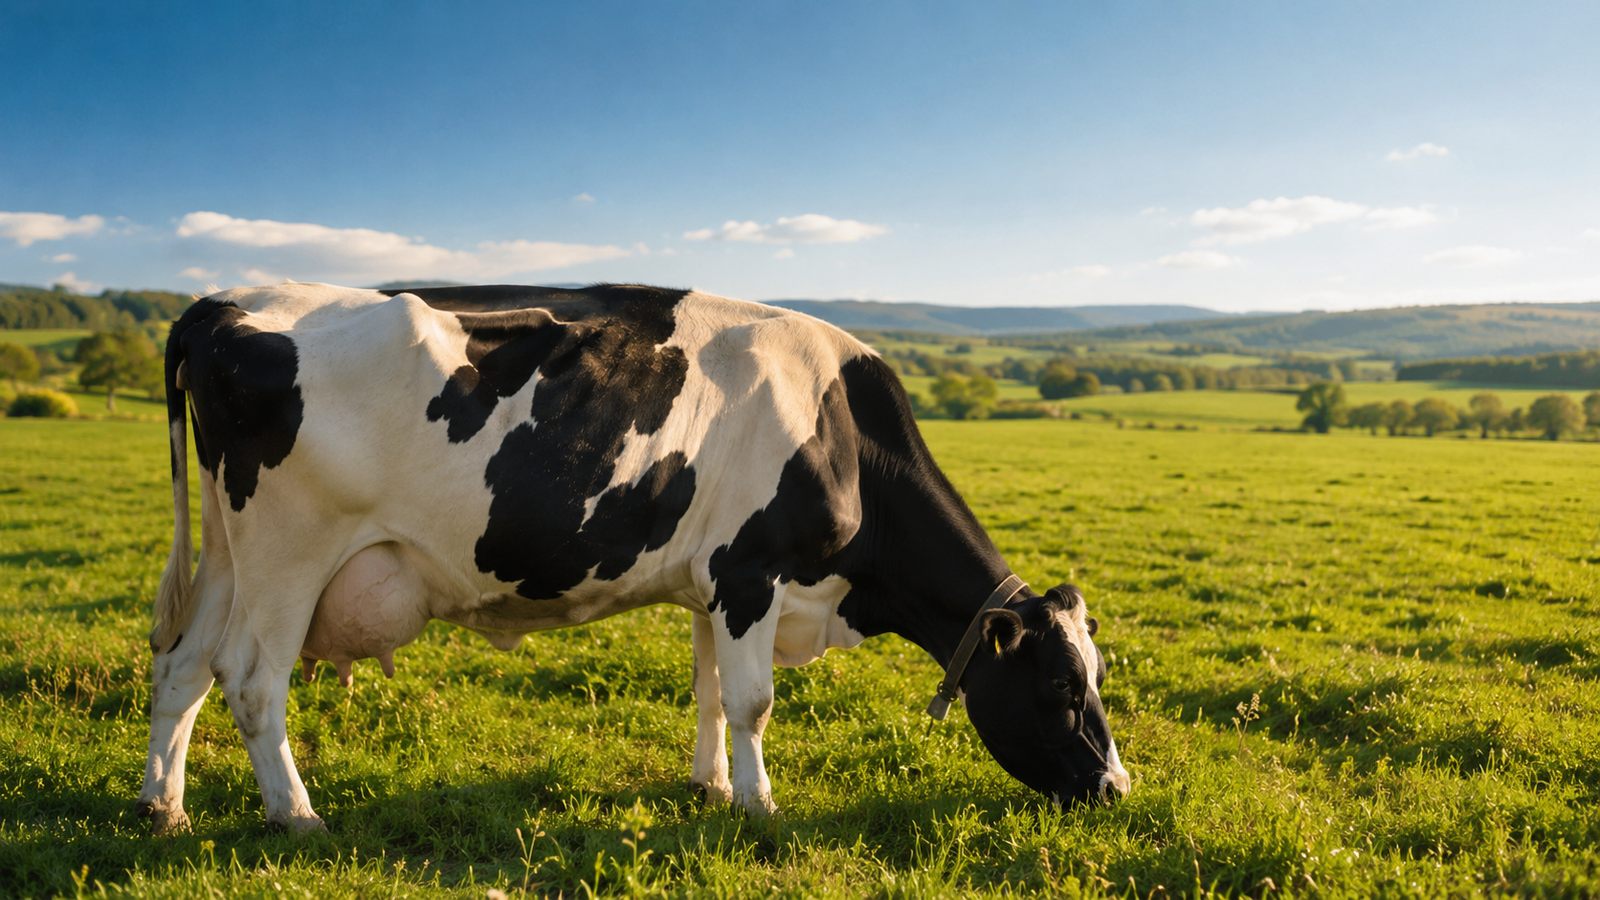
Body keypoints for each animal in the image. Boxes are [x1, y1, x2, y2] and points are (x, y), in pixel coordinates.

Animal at [136, 282, 1128, 834]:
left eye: (1097, 676)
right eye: (1057, 687)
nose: (1117, 788)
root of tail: (228, 302)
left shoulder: (712, 586)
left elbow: (709, 694)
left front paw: (713, 787)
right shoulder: (750, 572)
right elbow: (754, 702)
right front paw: (762, 808)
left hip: (227, 553)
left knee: (183, 666)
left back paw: (164, 808)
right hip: (288, 551)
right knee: (252, 681)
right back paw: (297, 814)